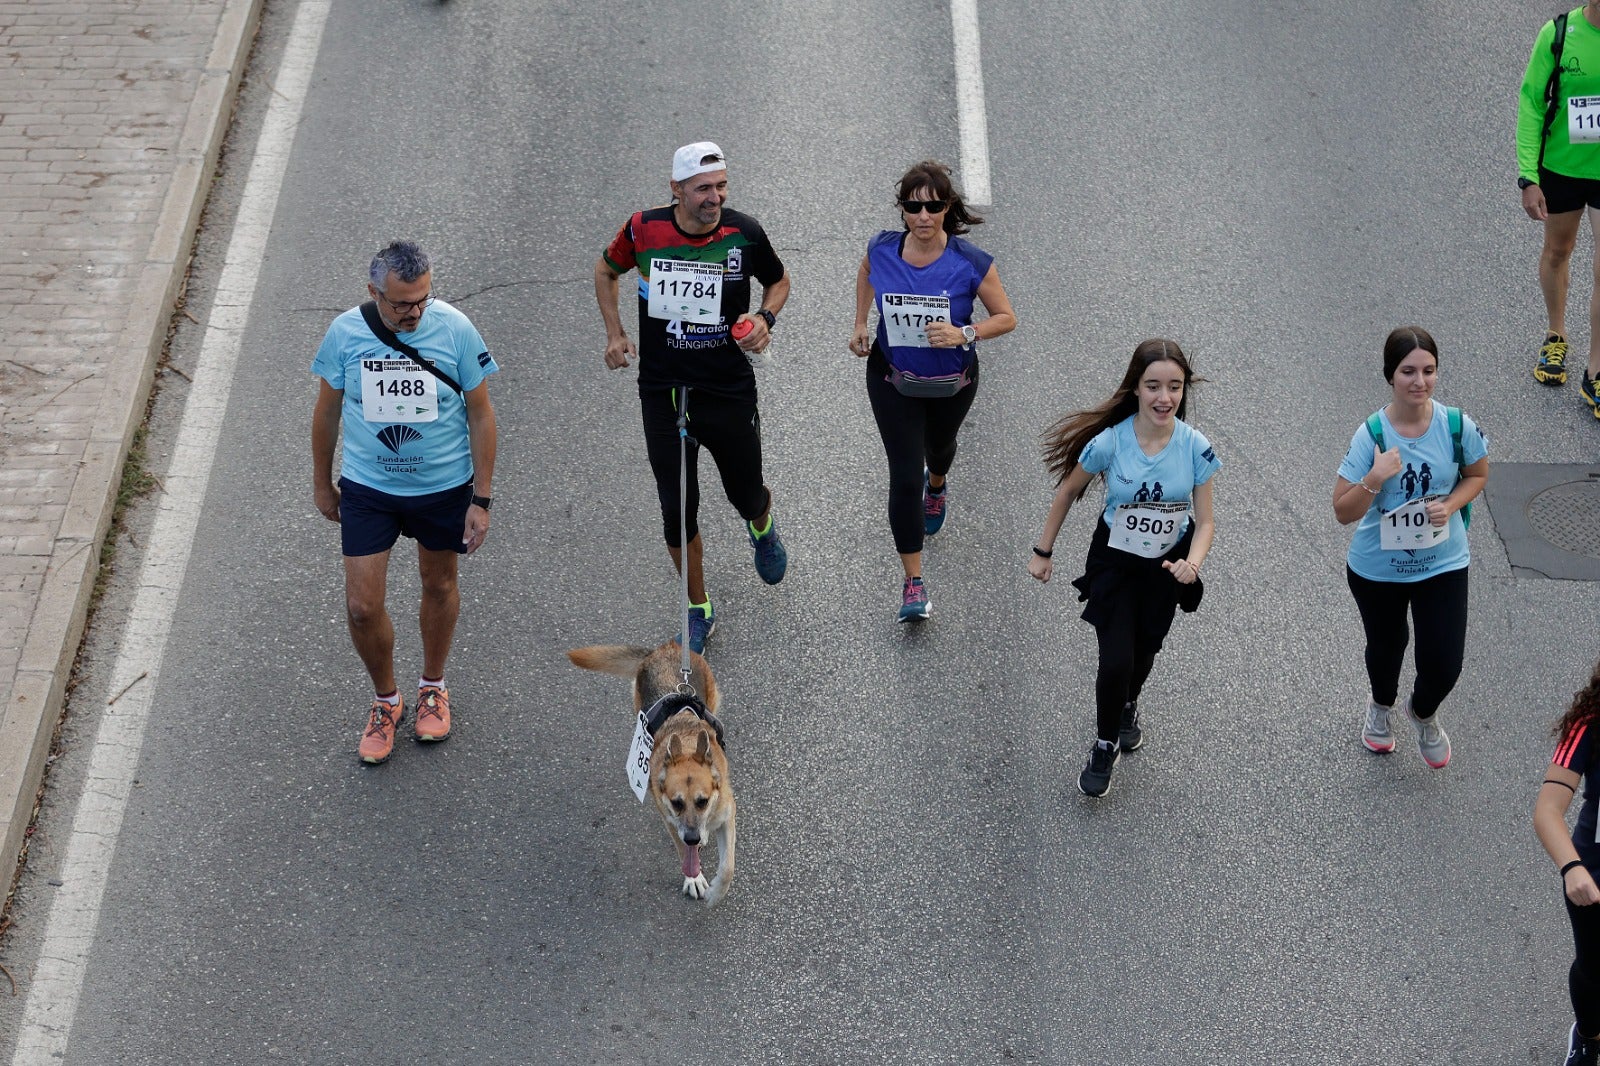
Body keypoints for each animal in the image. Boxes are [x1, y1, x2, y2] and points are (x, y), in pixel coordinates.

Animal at [563, 640, 736, 902]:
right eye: (676, 803)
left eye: (703, 801)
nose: (693, 838)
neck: (686, 746)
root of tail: (665, 648)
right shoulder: (671, 821)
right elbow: (684, 851)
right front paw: (694, 878)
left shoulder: (727, 815)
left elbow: (727, 868)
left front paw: (716, 893)